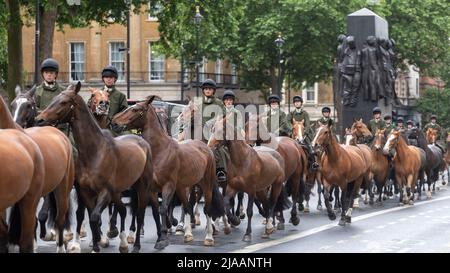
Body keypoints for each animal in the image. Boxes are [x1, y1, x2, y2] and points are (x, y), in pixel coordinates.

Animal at [35, 82, 155, 252]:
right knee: (122, 210)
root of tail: (141, 141)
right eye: (54, 99)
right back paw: (122, 242)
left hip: (142, 186)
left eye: (63, 102)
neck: (95, 152)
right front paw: (95, 243)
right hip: (117, 191)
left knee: (139, 213)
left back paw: (135, 244)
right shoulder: (86, 192)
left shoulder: (104, 192)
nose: (39, 119)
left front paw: (97, 243)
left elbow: (94, 217)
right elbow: (91, 218)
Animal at [112, 94, 225, 248]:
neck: (160, 150)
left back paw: (208, 236)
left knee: (206, 208)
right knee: (187, 206)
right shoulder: (152, 189)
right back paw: (187, 233)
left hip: (206, 184)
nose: (114, 122)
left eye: (135, 109)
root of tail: (205, 147)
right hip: (183, 187)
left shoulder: (168, 186)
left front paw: (163, 238)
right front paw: (160, 236)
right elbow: (155, 211)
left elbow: (163, 208)